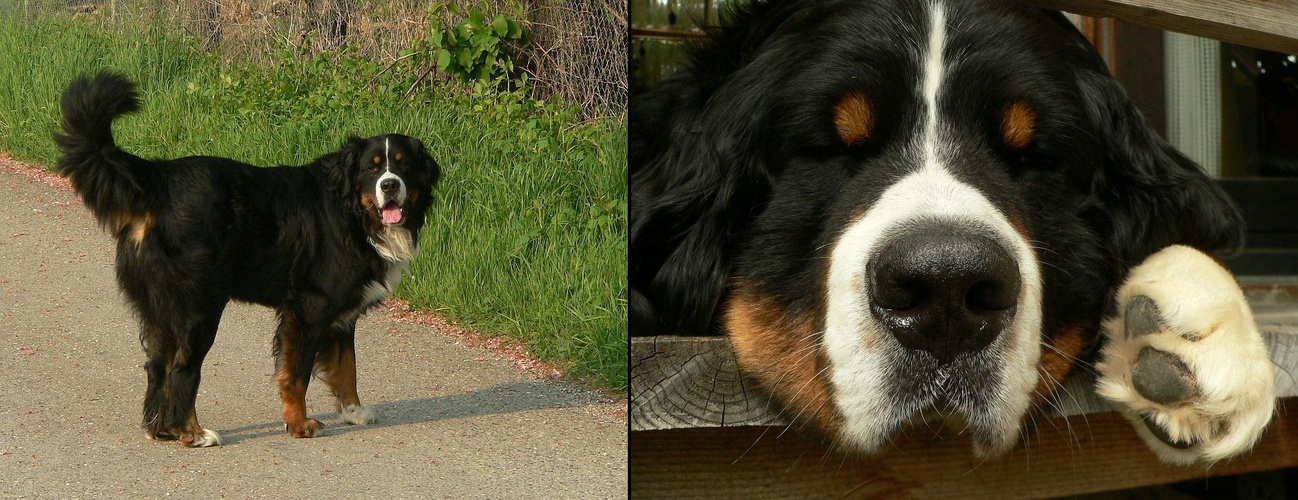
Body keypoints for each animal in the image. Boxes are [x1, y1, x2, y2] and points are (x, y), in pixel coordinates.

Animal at [54, 69, 441, 444]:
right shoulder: (310, 307)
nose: (390, 185)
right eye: (372, 168)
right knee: (183, 369)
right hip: (199, 307)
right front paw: (298, 424)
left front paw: (354, 411)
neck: (353, 214)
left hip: (160, 306)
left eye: (403, 166)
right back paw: (191, 433)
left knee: (157, 368)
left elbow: (347, 367)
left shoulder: (342, 314)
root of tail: (159, 179)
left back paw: (160, 429)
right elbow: (297, 374)